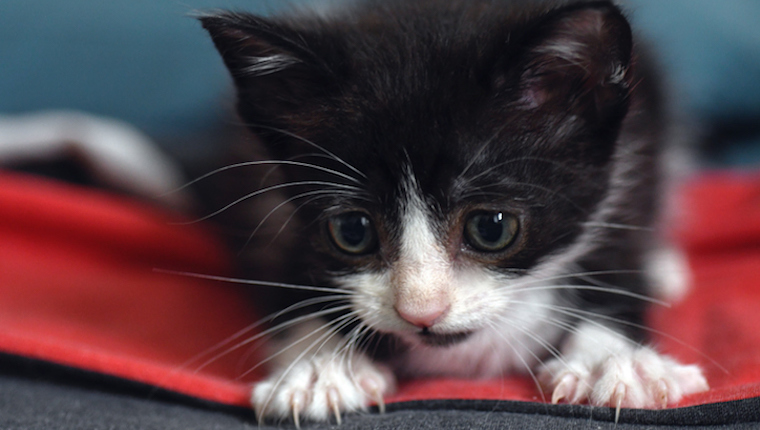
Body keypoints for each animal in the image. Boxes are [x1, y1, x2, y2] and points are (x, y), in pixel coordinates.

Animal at [196, 0, 708, 424]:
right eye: (352, 231)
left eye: (491, 228)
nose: (421, 312)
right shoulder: (259, 195)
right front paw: (320, 365)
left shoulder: (626, 176)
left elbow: (617, 254)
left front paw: (613, 360)